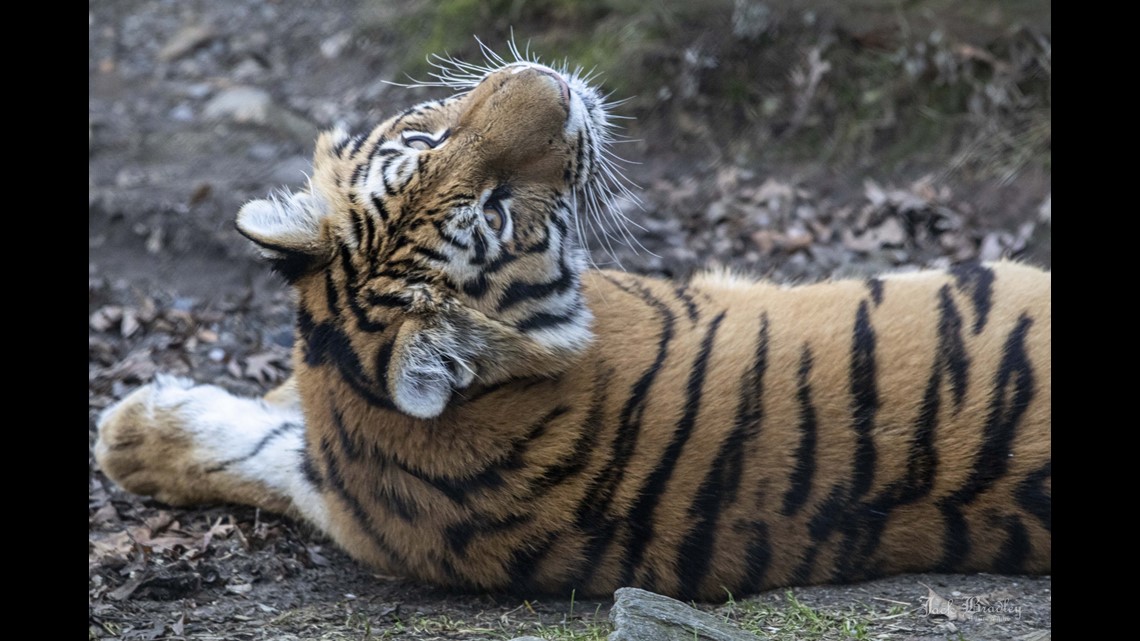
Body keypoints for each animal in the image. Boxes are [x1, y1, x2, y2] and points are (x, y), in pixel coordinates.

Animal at [93, 48, 1053, 597]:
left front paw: (127, 433)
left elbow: (260, 446)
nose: (549, 87)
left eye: (426, 147)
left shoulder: (347, 481)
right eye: (495, 207)